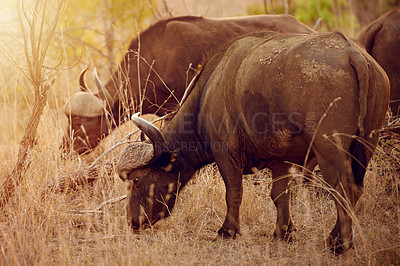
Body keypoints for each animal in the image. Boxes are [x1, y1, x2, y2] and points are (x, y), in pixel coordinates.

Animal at [116, 31, 390, 254]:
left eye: (136, 180)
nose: (132, 222)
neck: (208, 92)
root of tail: (353, 53)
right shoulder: (282, 159)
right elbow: (280, 195)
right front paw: (283, 232)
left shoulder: (226, 154)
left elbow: (233, 192)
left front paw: (227, 230)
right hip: (367, 144)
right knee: (355, 190)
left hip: (329, 150)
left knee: (344, 190)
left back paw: (338, 244)